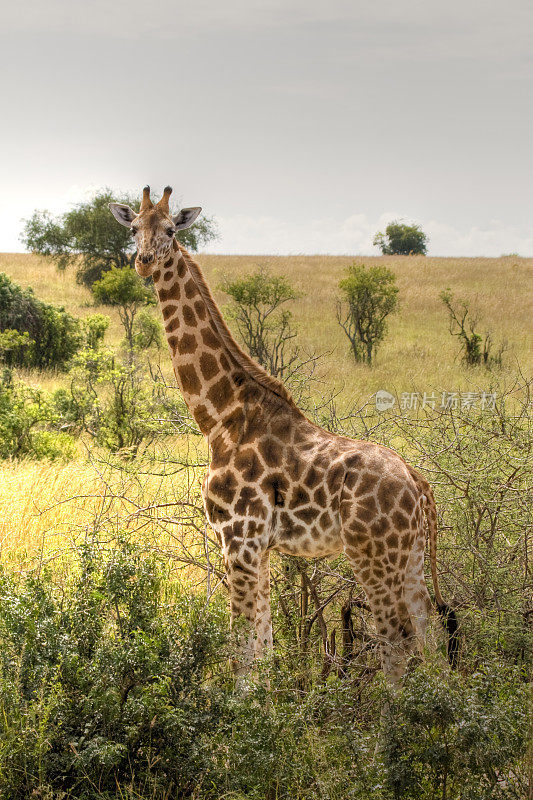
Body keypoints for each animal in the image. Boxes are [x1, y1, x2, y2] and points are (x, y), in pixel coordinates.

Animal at [109, 186, 458, 680]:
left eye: (172, 229)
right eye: (134, 227)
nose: (143, 261)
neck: (219, 416)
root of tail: (419, 483)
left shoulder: (239, 538)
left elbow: (241, 650)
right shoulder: (258, 547)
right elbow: (264, 648)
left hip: (373, 555)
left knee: (398, 647)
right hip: (411, 559)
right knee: (429, 641)